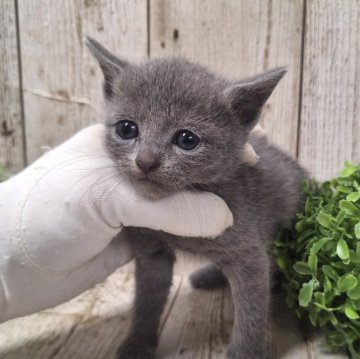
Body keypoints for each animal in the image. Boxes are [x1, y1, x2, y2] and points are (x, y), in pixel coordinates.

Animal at [87, 38, 306, 358]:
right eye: (127, 129)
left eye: (187, 139)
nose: (145, 161)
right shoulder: (152, 252)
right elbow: (147, 300)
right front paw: (137, 343)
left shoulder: (250, 253)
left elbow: (251, 313)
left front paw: (244, 352)